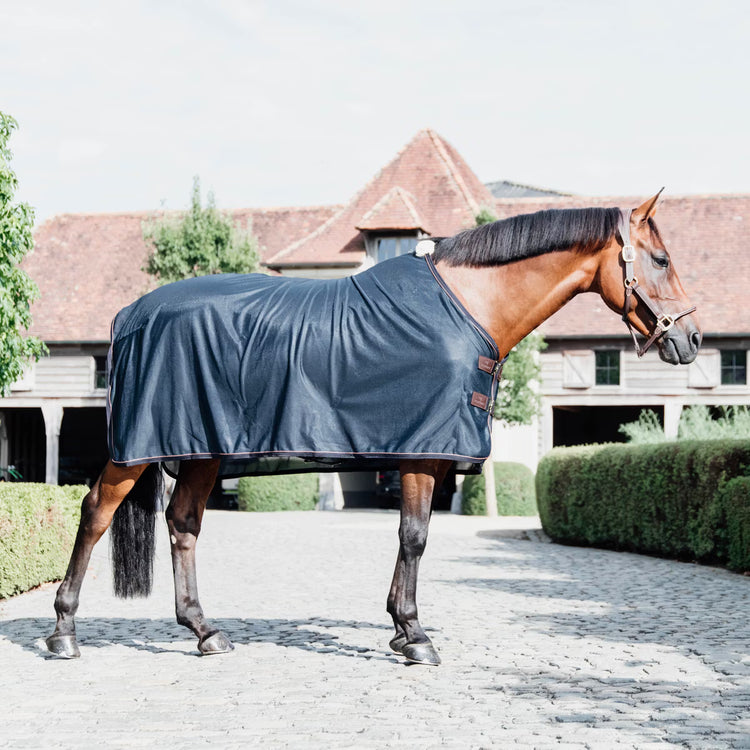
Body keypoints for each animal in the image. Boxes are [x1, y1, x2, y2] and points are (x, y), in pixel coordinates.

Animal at [46, 192, 701, 665]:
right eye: (661, 260)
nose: (690, 338)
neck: (467, 306)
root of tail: (132, 314)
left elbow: (413, 536)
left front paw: (401, 628)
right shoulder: (420, 454)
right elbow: (413, 537)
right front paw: (413, 635)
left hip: (203, 450)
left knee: (183, 525)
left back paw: (205, 631)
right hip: (138, 452)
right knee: (96, 512)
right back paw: (64, 631)